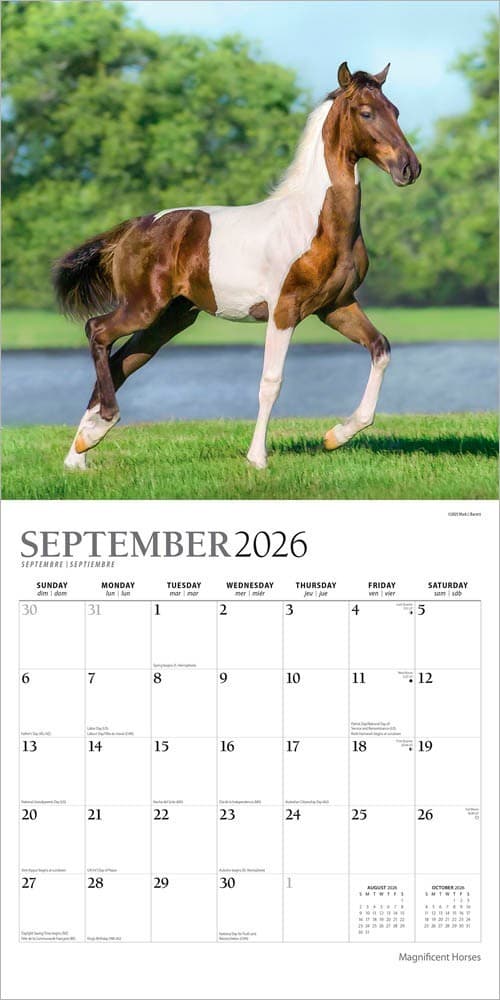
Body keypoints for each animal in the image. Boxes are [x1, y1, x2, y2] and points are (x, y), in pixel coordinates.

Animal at [53, 61, 421, 471]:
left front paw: (335, 436)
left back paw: (80, 452)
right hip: (143, 308)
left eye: (395, 111)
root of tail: (133, 228)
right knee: (97, 331)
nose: (409, 167)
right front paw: (257, 458)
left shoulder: (336, 306)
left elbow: (380, 348)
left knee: (120, 364)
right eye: (366, 112)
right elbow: (271, 381)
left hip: (170, 319)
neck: (315, 221)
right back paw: (97, 430)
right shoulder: (284, 310)